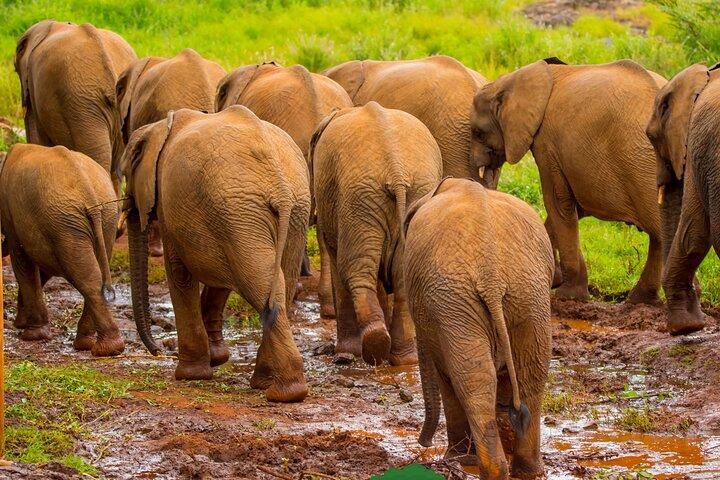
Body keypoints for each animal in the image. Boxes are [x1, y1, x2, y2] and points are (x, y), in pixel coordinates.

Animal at [0, 144, 124, 357]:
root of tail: (88, 190)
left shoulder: (12, 216)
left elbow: (23, 262)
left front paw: (32, 334)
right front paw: (23, 324)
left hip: (64, 221)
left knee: (84, 276)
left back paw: (103, 349)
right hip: (104, 217)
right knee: (94, 270)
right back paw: (94, 345)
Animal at [120, 106, 310, 402]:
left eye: (126, 172)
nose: (159, 350)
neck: (161, 126)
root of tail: (278, 183)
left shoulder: (171, 205)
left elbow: (179, 273)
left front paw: (190, 375)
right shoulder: (214, 219)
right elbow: (220, 278)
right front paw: (215, 360)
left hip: (239, 210)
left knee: (259, 283)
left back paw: (283, 392)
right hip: (281, 211)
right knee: (278, 284)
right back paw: (269, 384)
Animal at [310, 102, 443, 366]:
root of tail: (396, 170)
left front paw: (347, 351)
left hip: (357, 198)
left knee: (353, 270)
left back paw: (369, 348)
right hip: (408, 193)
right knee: (401, 278)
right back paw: (402, 359)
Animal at [403, 178, 553, 480]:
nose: (423, 443)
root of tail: (491, 275)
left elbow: (446, 375)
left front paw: (457, 459)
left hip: (455, 301)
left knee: (471, 380)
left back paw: (476, 465)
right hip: (529, 295)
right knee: (530, 374)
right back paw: (527, 471)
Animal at [471, 58, 666, 304]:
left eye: (478, 133)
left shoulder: (547, 143)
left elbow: (557, 203)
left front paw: (567, 295)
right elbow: (573, 208)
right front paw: (554, 279)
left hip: (644, 165)